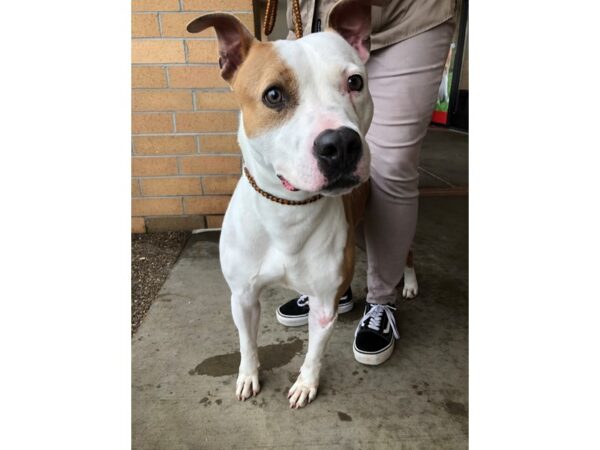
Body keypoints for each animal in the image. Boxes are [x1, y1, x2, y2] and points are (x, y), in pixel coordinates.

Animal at [188, 0, 392, 408]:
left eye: (355, 83)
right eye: (273, 95)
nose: (341, 143)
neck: (287, 211)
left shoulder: (324, 305)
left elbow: (314, 354)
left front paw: (305, 385)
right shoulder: (243, 297)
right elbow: (247, 343)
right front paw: (248, 376)